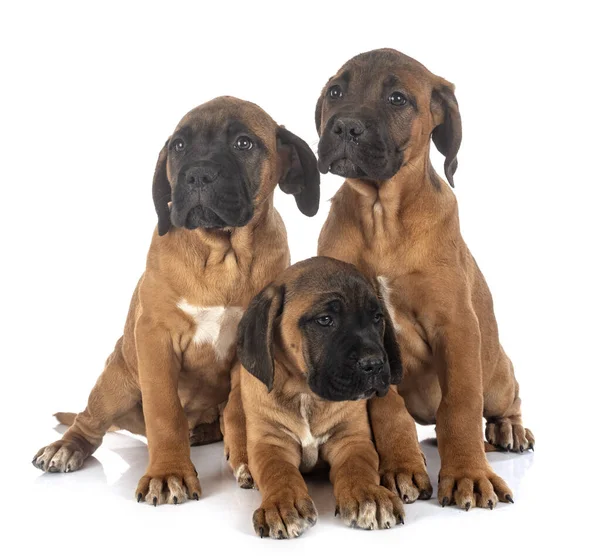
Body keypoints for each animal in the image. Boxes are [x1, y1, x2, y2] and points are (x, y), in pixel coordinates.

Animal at [30, 95, 322, 504]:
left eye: (244, 143)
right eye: (179, 146)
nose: (196, 175)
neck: (221, 253)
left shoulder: (248, 348)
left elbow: (239, 411)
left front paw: (247, 459)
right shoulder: (155, 337)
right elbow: (164, 411)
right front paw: (169, 473)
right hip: (117, 379)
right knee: (90, 422)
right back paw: (66, 447)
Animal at [237, 258, 406, 540]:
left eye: (377, 318)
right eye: (325, 320)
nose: (374, 364)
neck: (305, 394)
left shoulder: (351, 438)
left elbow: (358, 466)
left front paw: (370, 496)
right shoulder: (271, 443)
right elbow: (278, 471)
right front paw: (282, 504)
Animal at [314, 50, 536, 510]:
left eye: (398, 98)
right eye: (335, 92)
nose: (343, 126)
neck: (382, 216)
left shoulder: (456, 325)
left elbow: (461, 405)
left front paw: (469, 474)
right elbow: (387, 410)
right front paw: (400, 466)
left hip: (496, 373)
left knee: (505, 398)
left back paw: (509, 429)